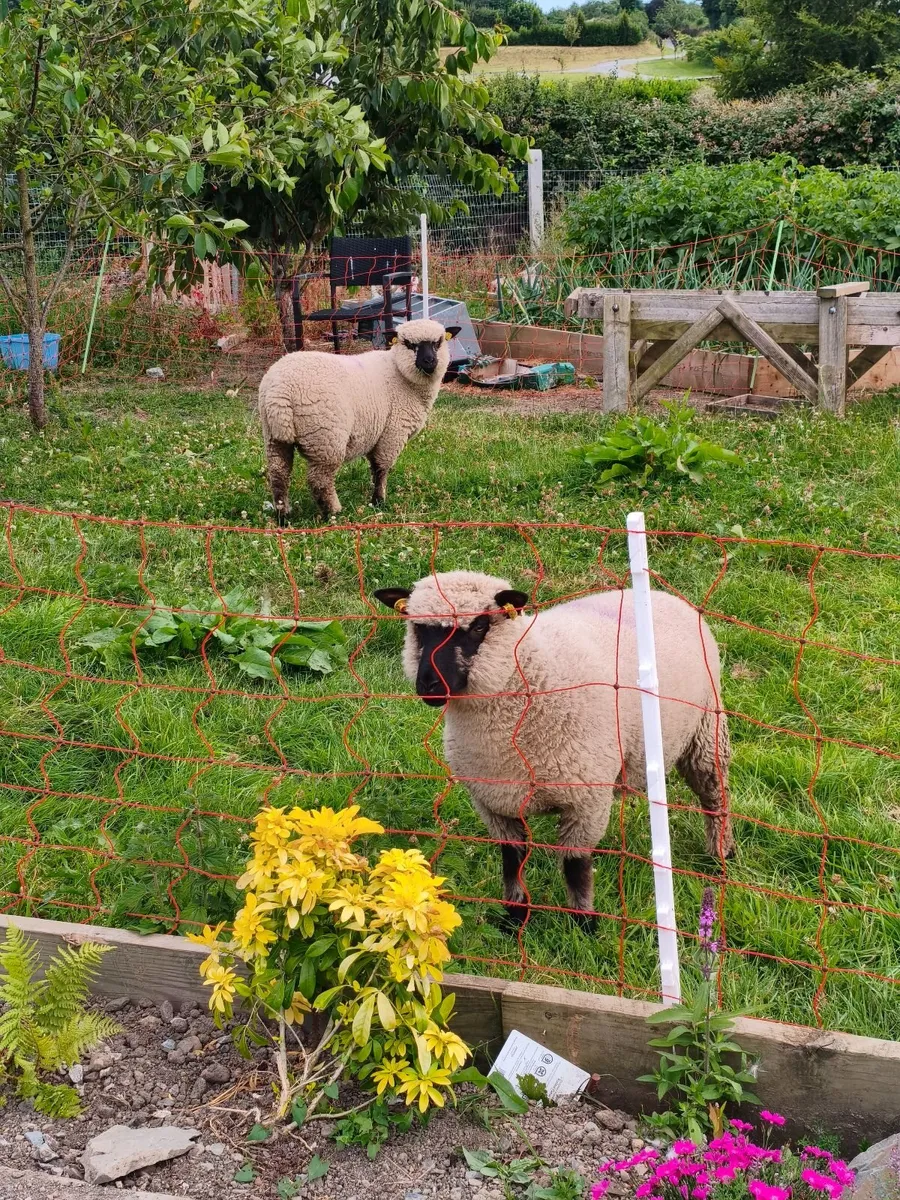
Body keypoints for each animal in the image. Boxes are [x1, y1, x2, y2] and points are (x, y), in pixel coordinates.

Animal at [257, 318, 460, 522]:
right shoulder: (392, 432)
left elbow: (374, 468)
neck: (399, 374)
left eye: (438, 342)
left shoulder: (377, 434)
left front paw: (376, 499)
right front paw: (379, 501)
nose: (430, 361)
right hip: (326, 438)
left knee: (278, 474)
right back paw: (333, 512)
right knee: (319, 480)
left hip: (274, 437)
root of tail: (280, 390)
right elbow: (381, 469)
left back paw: (283, 516)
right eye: (409, 344)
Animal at [374, 571, 735, 929]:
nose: (430, 686)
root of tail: (664, 595)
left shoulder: (586, 801)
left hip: (706, 730)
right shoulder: (493, 801)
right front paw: (515, 915)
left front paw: (584, 923)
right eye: (417, 627)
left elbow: (575, 865)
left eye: (478, 626)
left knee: (714, 795)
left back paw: (721, 855)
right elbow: (512, 859)